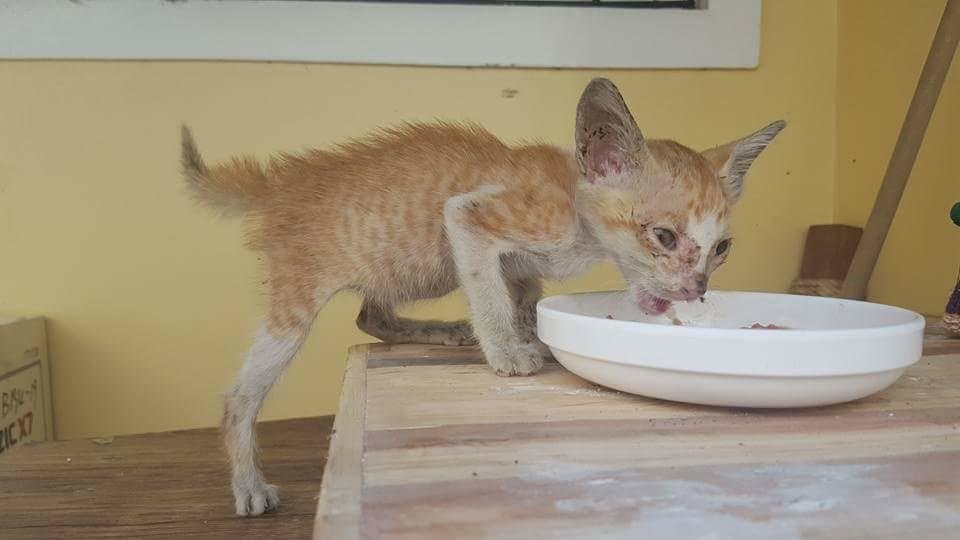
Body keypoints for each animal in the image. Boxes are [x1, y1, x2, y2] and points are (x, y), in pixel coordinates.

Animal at [182, 77, 788, 516]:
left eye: (722, 248)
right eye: (663, 237)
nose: (697, 288)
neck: (576, 210)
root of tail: (282, 181)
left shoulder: (519, 265)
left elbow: (517, 294)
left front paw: (526, 336)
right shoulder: (471, 216)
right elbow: (488, 293)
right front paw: (507, 353)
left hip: (405, 271)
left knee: (370, 315)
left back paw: (438, 331)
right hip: (302, 296)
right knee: (240, 395)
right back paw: (248, 483)